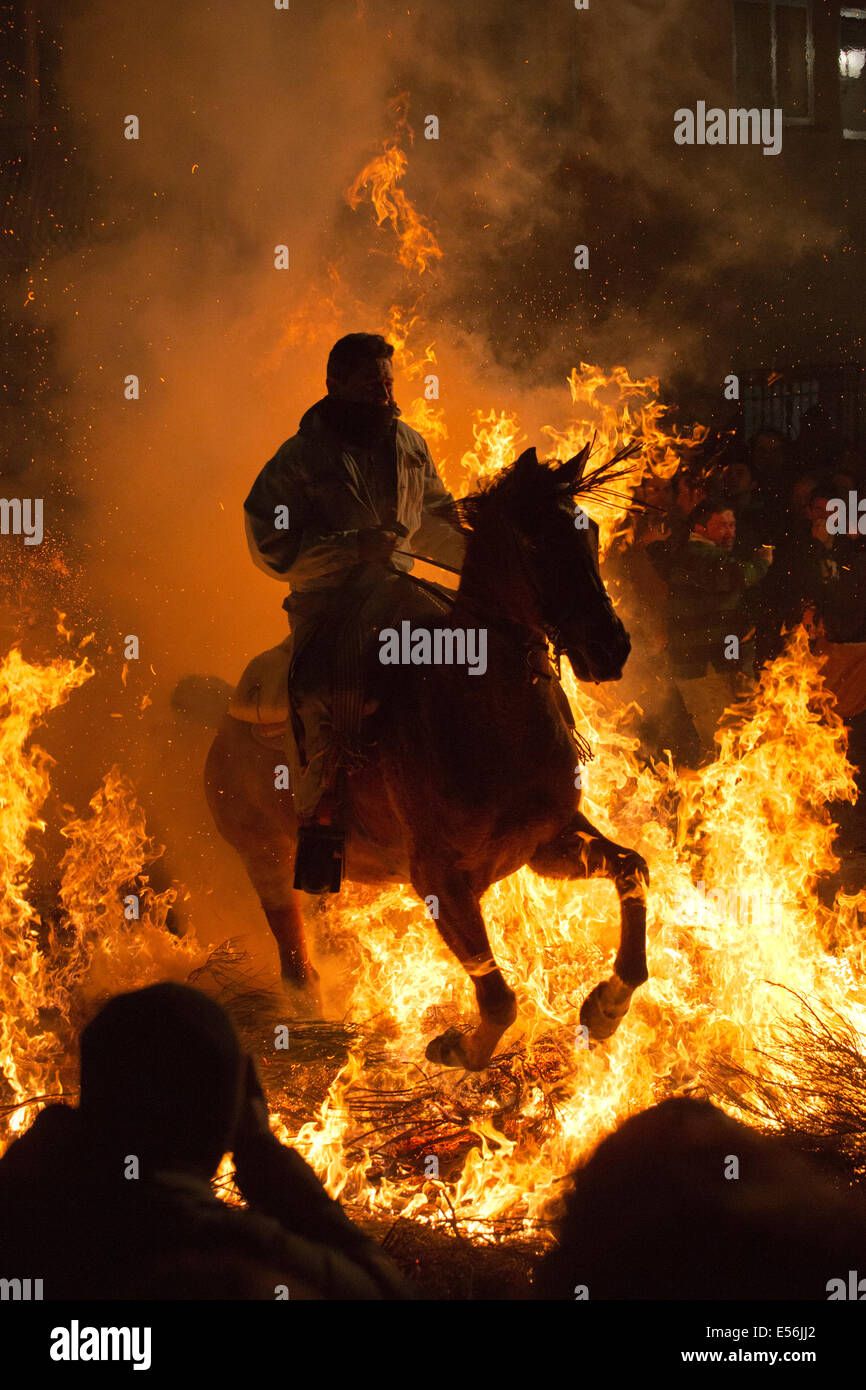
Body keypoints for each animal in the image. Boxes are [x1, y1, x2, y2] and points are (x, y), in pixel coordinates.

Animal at [204, 444, 650, 1073]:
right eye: (535, 540)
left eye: (590, 534)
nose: (610, 647)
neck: (485, 713)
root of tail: (224, 721)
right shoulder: (440, 879)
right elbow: (498, 997)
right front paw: (460, 1048)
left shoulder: (549, 844)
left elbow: (633, 869)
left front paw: (607, 1007)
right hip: (262, 856)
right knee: (294, 957)